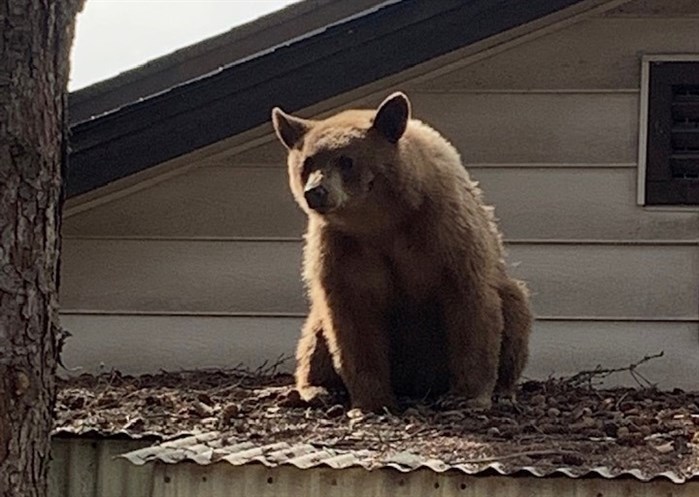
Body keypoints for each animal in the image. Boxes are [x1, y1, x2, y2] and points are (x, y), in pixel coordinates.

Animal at [272, 90, 532, 410]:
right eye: (307, 161)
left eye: (346, 160)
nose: (316, 192)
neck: (381, 222)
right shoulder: (343, 251)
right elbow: (353, 325)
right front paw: (373, 401)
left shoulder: (444, 234)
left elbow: (471, 306)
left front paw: (466, 395)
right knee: (314, 336)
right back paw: (313, 389)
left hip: (506, 295)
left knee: (516, 310)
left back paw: (503, 390)